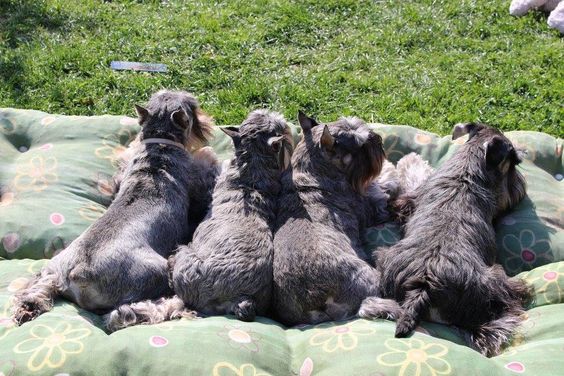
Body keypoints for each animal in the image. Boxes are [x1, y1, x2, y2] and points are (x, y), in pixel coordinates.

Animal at [11, 89, 218, 324]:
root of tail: (79, 272)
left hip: (52, 270)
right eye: (194, 107)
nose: (208, 120)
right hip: (156, 273)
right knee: (140, 308)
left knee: (38, 288)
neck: (159, 144)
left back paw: (28, 308)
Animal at [272, 111, 400, 326]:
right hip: (367, 277)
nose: (378, 139)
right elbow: (382, 187)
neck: (309, 171)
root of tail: (314, 298)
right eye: (361, 145)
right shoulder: (372, 206)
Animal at [372, 122, 532, 356]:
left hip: (384, 258)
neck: (466, 172)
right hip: (495, 281)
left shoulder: (407, 203)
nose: (522, 188)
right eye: (514, 162)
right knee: (491, 328)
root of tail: (423, 287)